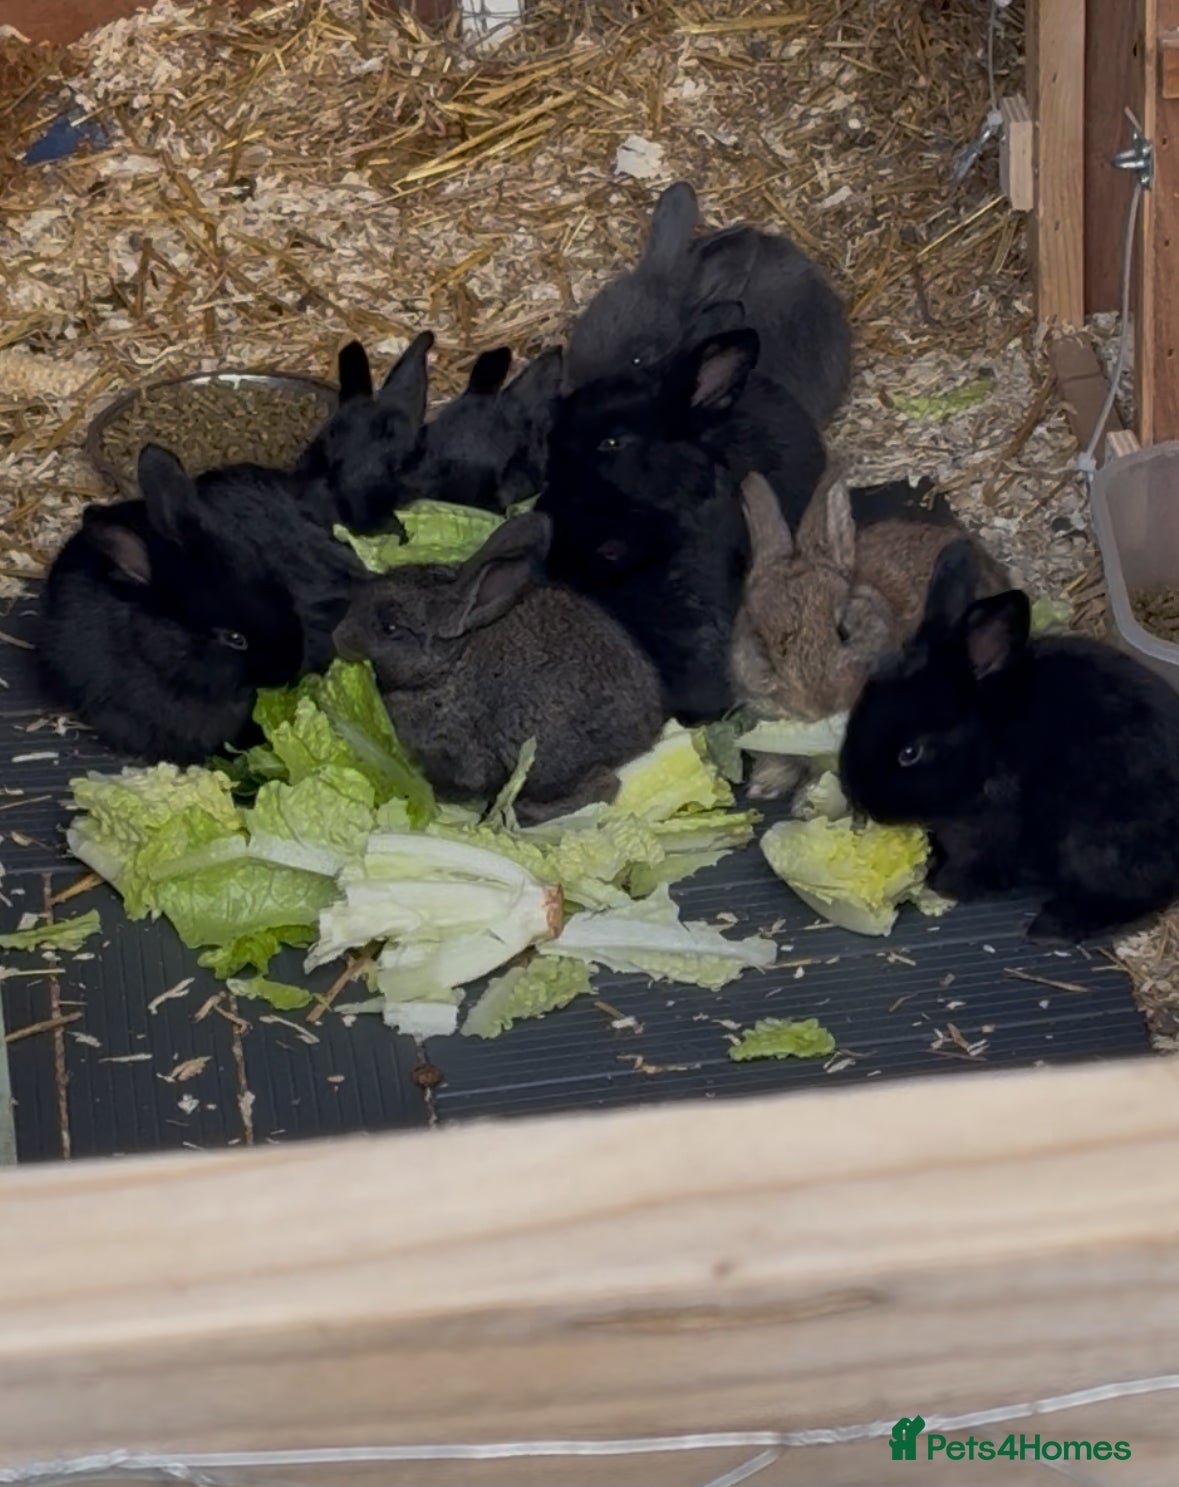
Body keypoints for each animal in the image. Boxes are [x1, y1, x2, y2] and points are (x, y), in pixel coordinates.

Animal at [332, 510, 665, 823]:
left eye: (389, 628)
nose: (339, 637)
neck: (448, 668)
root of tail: (647, 730)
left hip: (544, 762)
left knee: (604, 786)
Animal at [838, 540, 1179, 944]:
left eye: (910, 753)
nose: (856, 798)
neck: (985, 746)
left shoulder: (985, 831)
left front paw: (937, 881)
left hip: (1100, 846)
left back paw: (1049, 927)